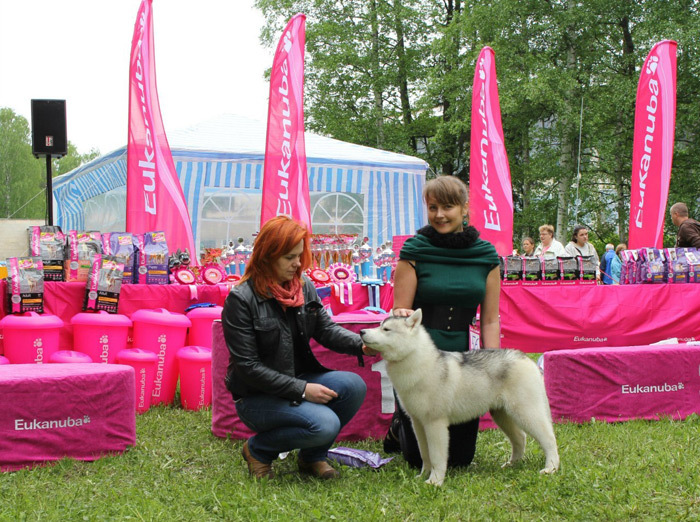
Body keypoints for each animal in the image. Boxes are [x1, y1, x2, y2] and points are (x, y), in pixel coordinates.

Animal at [360, 308, 556, 484]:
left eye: (386, 329)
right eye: (379, 325)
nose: (362, 332)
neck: (417, 362)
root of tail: (525, 358)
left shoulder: (435, 424)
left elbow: (436, 456)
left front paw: (435, 481)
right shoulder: (418, 423)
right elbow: (425, 454)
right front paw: (423, 476)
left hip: (526, 413)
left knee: (549, 438)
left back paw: (551, 468)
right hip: (502, 415)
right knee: (520, 438)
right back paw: (512, 464)